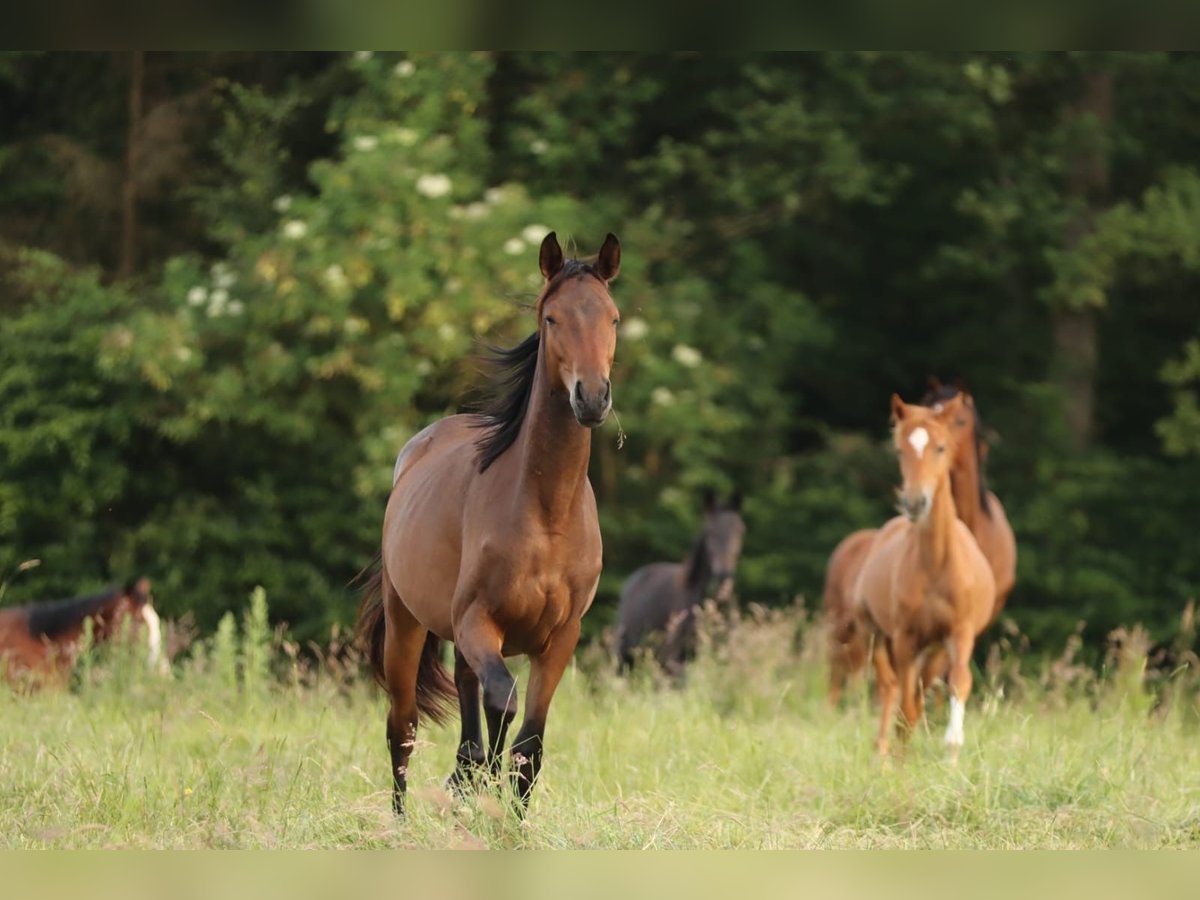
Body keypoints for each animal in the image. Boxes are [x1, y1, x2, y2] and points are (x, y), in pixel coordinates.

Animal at [352, 232, 619, 816]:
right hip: (406, 625)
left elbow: (529, 744)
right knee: (402, 728)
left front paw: (508, 818)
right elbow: (504, 703)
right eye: (551, 318)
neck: (546, 513)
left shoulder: (561, 638)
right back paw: (400, 821)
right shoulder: (480, 622)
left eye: (613, 317)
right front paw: (481, 797)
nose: (591, 396)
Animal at [854, 398, 993, 758]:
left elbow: (958, 684)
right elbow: (905, 708)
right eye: (899, 449)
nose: (915, 502)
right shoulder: (905, 639)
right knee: (890, 688)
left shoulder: (959, 634)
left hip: (933, 648)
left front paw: (952, 754)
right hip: (874, 632)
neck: (936, 564)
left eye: (941, 447)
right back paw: (882, 753)